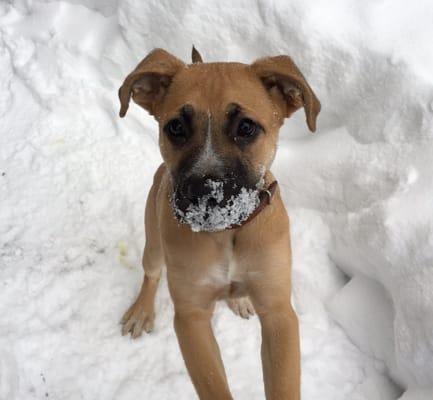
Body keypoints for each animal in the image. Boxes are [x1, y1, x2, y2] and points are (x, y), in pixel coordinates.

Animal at [118, 45, 320, 398]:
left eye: (246, 127)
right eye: (175, 127)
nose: (204, 193)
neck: (228, 233)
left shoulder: (279, 313)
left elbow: (283, 384)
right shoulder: (191, 318)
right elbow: (214, 385)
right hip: (153, 245)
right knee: (151, 274)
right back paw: (141, 311)